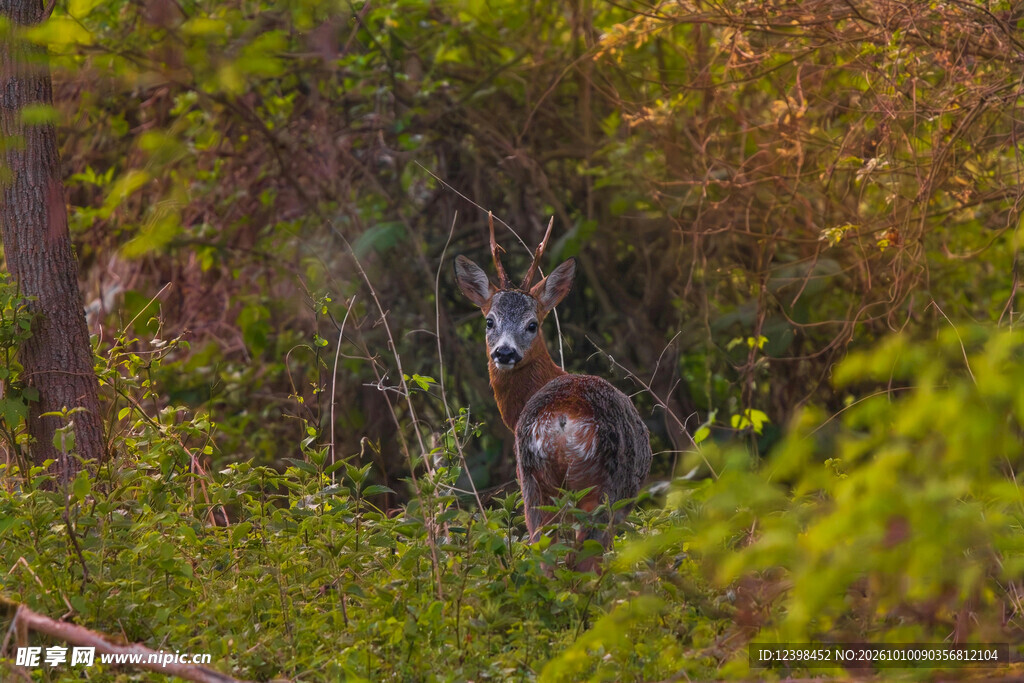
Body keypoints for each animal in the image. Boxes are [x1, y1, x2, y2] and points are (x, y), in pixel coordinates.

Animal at [455, 215, 653, 570]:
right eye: (489, 321)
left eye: (532, 324)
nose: (505, 352)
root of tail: (564, 419)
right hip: (592, 487)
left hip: (538, 479)